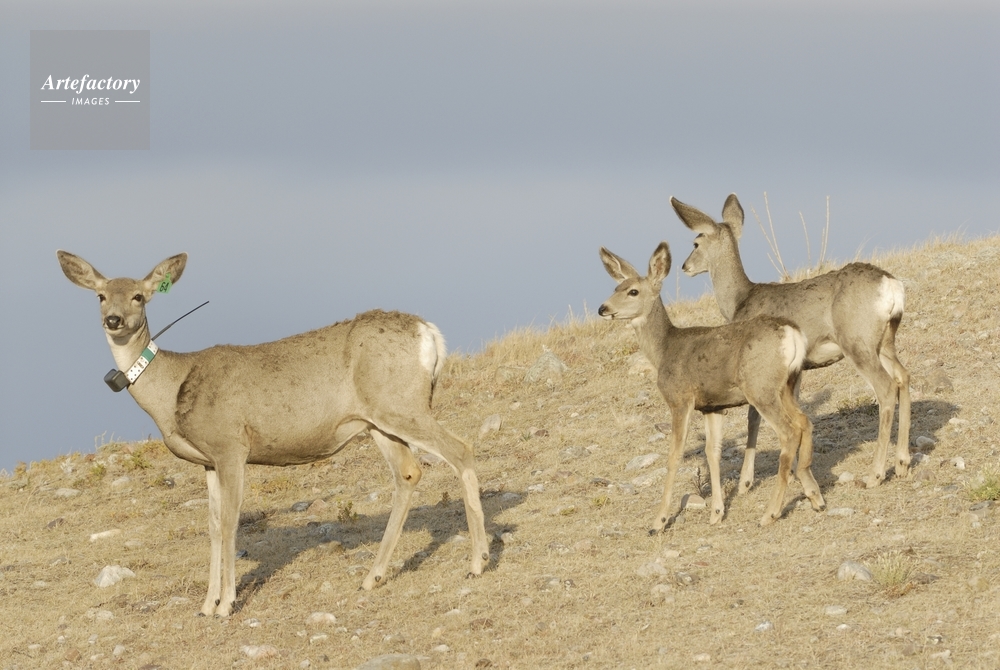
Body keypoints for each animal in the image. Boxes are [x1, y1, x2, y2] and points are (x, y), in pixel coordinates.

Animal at [596, 244, 824, 532]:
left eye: (633, 291)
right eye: (616, 287)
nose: (602, 308)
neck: (664, 350)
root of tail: (791, 332)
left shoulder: (680, 399)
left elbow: (674, 455)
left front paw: (658, 521)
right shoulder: (713, 406)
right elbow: (713, 452)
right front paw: (716, 512)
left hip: (760, 387)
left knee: (789, 432)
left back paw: (769, 514)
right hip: (788, 385)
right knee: (804, 421)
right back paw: (816, 497)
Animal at [672, 194, 916, 488]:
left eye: (695, 243)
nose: (684, 266)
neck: (739, 302)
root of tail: (891, 285)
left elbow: (753, 418)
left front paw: (745, 482)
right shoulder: (795, 371)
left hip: (858, 341)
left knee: (886, 386)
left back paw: (875, 474)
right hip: (885, 341)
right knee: (903, 376)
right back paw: (902, 463)